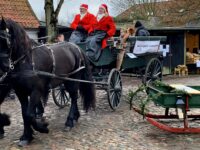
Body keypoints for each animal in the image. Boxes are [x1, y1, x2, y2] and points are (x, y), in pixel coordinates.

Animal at [0, 18, 95, 146]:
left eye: (5, 40)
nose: (4, 67)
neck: (27, 61)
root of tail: (77, 48)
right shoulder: (21, 93)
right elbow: (24, 114)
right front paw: (26, 136)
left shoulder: (36, 91)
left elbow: (30, 114)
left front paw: (42, 127)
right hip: (66, 81)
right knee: (73, 97)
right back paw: (75, 117)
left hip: (73, 80)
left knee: (74, 97)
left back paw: (69, 121)